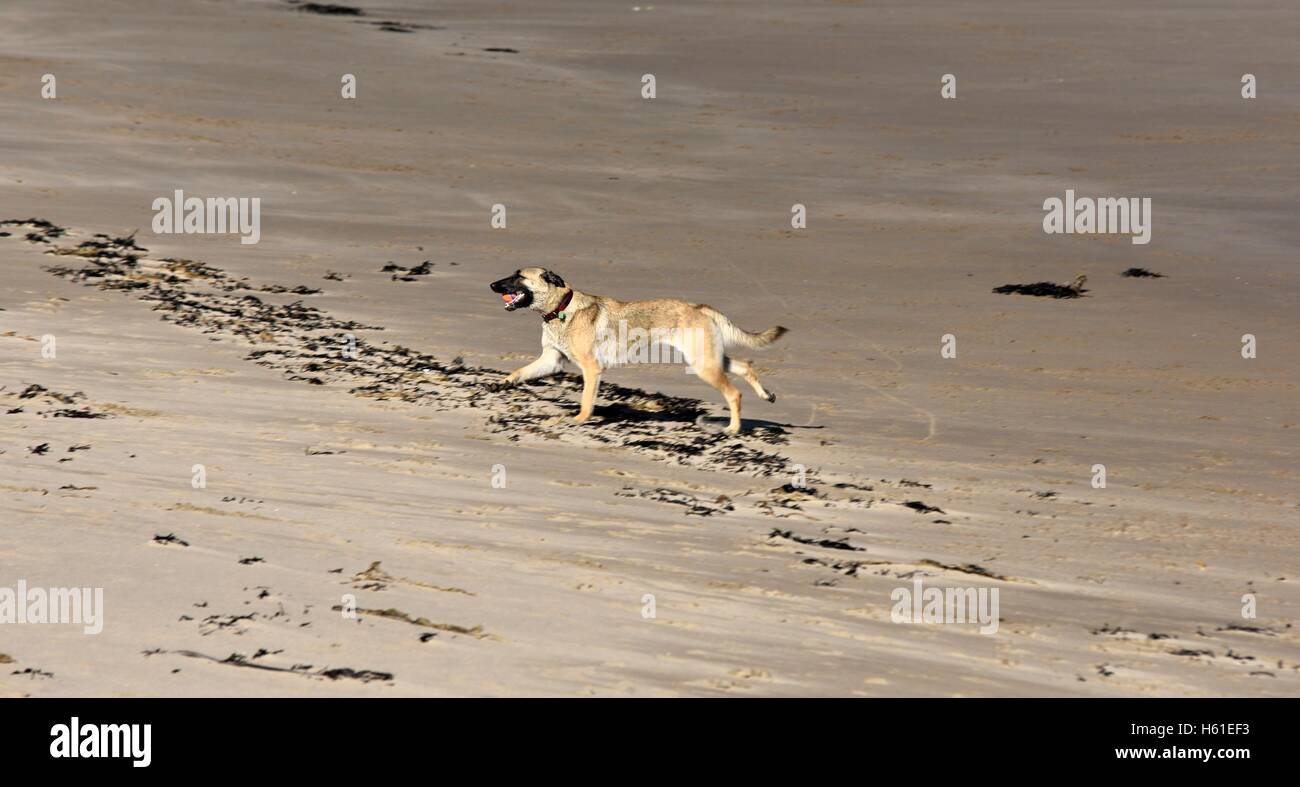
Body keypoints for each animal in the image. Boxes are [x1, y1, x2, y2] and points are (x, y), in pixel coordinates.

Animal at [488, 266, 785, 431]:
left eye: (519, 277)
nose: (491, 284)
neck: (562, 308)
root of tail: (700, 307)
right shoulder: (552, 360)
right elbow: (520, 371)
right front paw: (501, 383)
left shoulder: (591, 369)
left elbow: (586, 399)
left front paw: (581, 418)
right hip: (710, 360)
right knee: (745, 367)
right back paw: (766, 395)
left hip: (704, 366)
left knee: (734, 393)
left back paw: (733, 428)